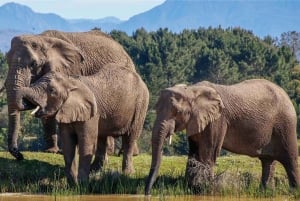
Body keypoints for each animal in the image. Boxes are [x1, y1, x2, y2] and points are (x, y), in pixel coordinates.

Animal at [4, 29, 135, 160]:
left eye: (33, 64)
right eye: (7, 60)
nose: (20, 155)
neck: (41, 39)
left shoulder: (69, 70)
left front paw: (62, 151)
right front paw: (50, 151)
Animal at [144, 79, 298, 195]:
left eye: (177, 112)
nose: (147, 193)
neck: (192, 89)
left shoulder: (217, 120)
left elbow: (208, 152)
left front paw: (204, 190)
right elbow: (194, 152)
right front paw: (191, 189)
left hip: (285, 124)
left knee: (290, 159)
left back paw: (294, 191)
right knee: (267, 161)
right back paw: (265, 192)